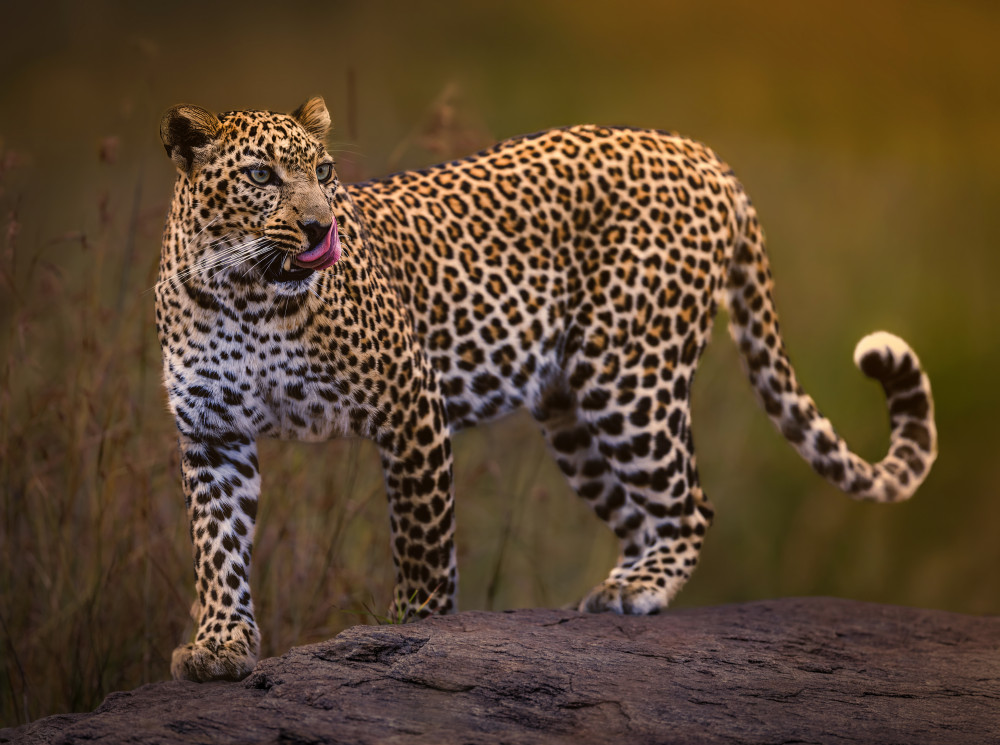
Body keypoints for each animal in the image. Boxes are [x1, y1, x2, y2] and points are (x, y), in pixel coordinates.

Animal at [155, 97, 937, 683]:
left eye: (323, 172)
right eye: (262, 174)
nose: (322, 226)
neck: (244, 292)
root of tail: (701, 152)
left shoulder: (409, 404)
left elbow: (422, 543)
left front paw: (411, 633)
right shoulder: (213, 433)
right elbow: (217, 548)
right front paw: (220, 645)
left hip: (626, 372)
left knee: (690, 504)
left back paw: (636, 590)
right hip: (571, 411)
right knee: (638, 514)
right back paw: (615, 591)